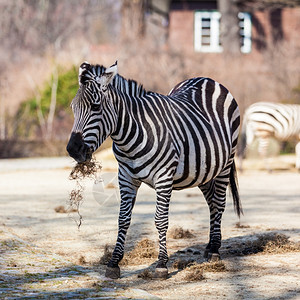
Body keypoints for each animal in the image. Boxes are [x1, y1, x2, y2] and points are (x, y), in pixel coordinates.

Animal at [67, 61, 243, 278]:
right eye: (73, 108)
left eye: (95, 107)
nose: (73, 149)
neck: (131, 136)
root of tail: (207, 79)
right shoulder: (125, 177)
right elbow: (123, 219)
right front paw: (114, 262)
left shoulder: (164, 177)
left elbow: (160, 220)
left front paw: (161, 264)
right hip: (202, 168)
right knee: (212, 202)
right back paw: (210, 246)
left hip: (225, 164)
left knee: (218, 203)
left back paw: (215, 251)